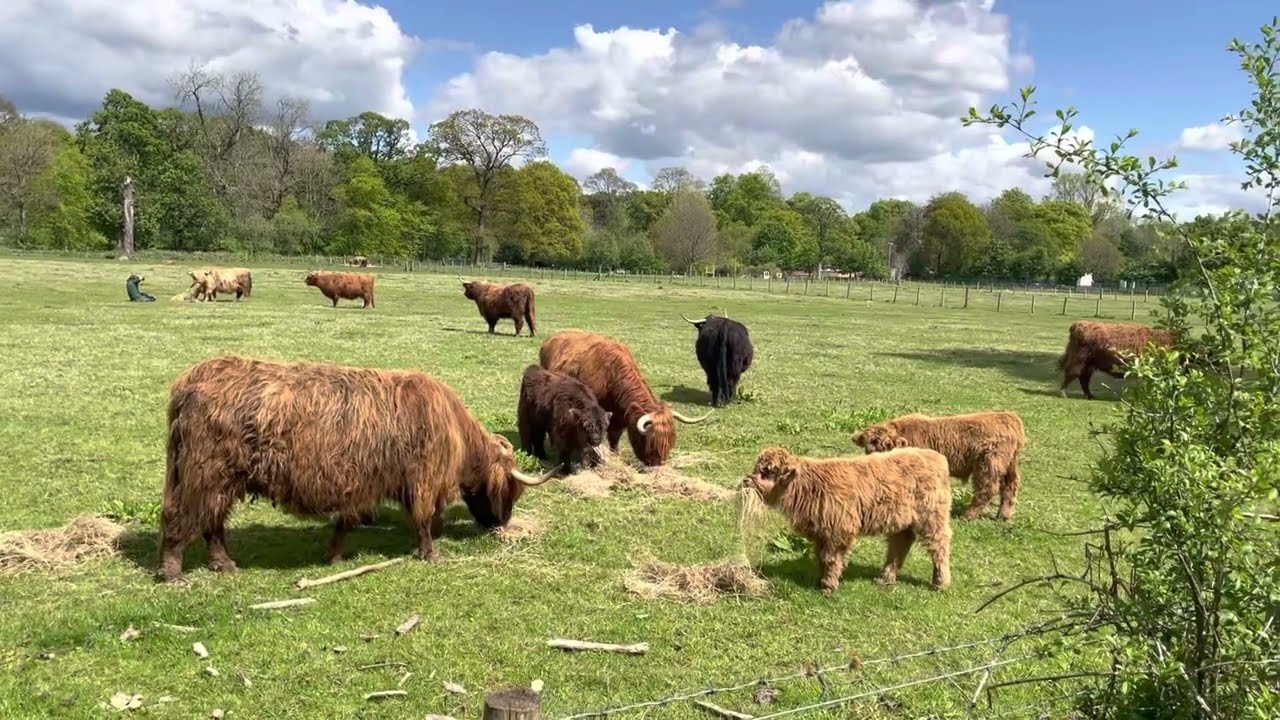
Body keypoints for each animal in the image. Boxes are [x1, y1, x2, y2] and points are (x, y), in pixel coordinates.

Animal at [156, 355, 556, 584]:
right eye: (511, 491)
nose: (500, 525)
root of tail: (190, 381)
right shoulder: (421, 479)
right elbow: (423, 519)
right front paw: (430, 553)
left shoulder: (362, 483)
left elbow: (347, 521)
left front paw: (333, 555)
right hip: (203, 473)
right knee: (180, 516)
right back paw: (174, 574)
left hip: (218, 480)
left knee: (212, 522)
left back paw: (223, 564)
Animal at [539, 329, 711, 467]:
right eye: (649, 441)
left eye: (670, 441)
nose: (657, 465)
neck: (611, 377)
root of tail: (552, 337)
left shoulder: (620, 418)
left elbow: (614, 438)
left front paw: (615, 456)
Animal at [743, 446, 953, 593]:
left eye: (769, 471)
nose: (747, 480)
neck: (809, 487)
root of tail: (935, 456)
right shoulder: (821, 533)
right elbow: (821, 557)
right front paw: (819, 581)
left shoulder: (839, 531)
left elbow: (831, 558)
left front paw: (828, 586)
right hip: (902, 520)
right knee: (900, 544)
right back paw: (885, 578)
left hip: (933, 515)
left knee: (939, 544)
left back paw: (940, 583)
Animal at [853, 411, 1026, 521]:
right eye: (868, 448)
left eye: (885, 446)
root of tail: (1009, 417)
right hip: (1010, 465)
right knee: (1010, 485)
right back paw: (1003, 515)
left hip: (988, 465)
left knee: (988, 489)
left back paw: (967, 515)